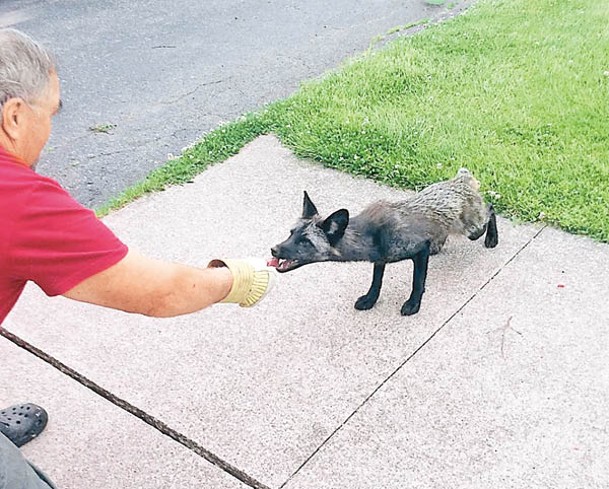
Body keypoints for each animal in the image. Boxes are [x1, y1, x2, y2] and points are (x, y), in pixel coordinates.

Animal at [268, 168, 496, 314]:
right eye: (291, 233)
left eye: (305, 241)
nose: (273, 250)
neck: (372, 235)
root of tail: (460, 180)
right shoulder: (380, 259)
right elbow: (376, 282)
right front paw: (370, 300)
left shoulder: (419, 250)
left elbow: (417, 282)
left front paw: (413, 304)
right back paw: (439, 242)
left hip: (473, 230)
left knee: (491, 208)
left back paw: (492, 238)